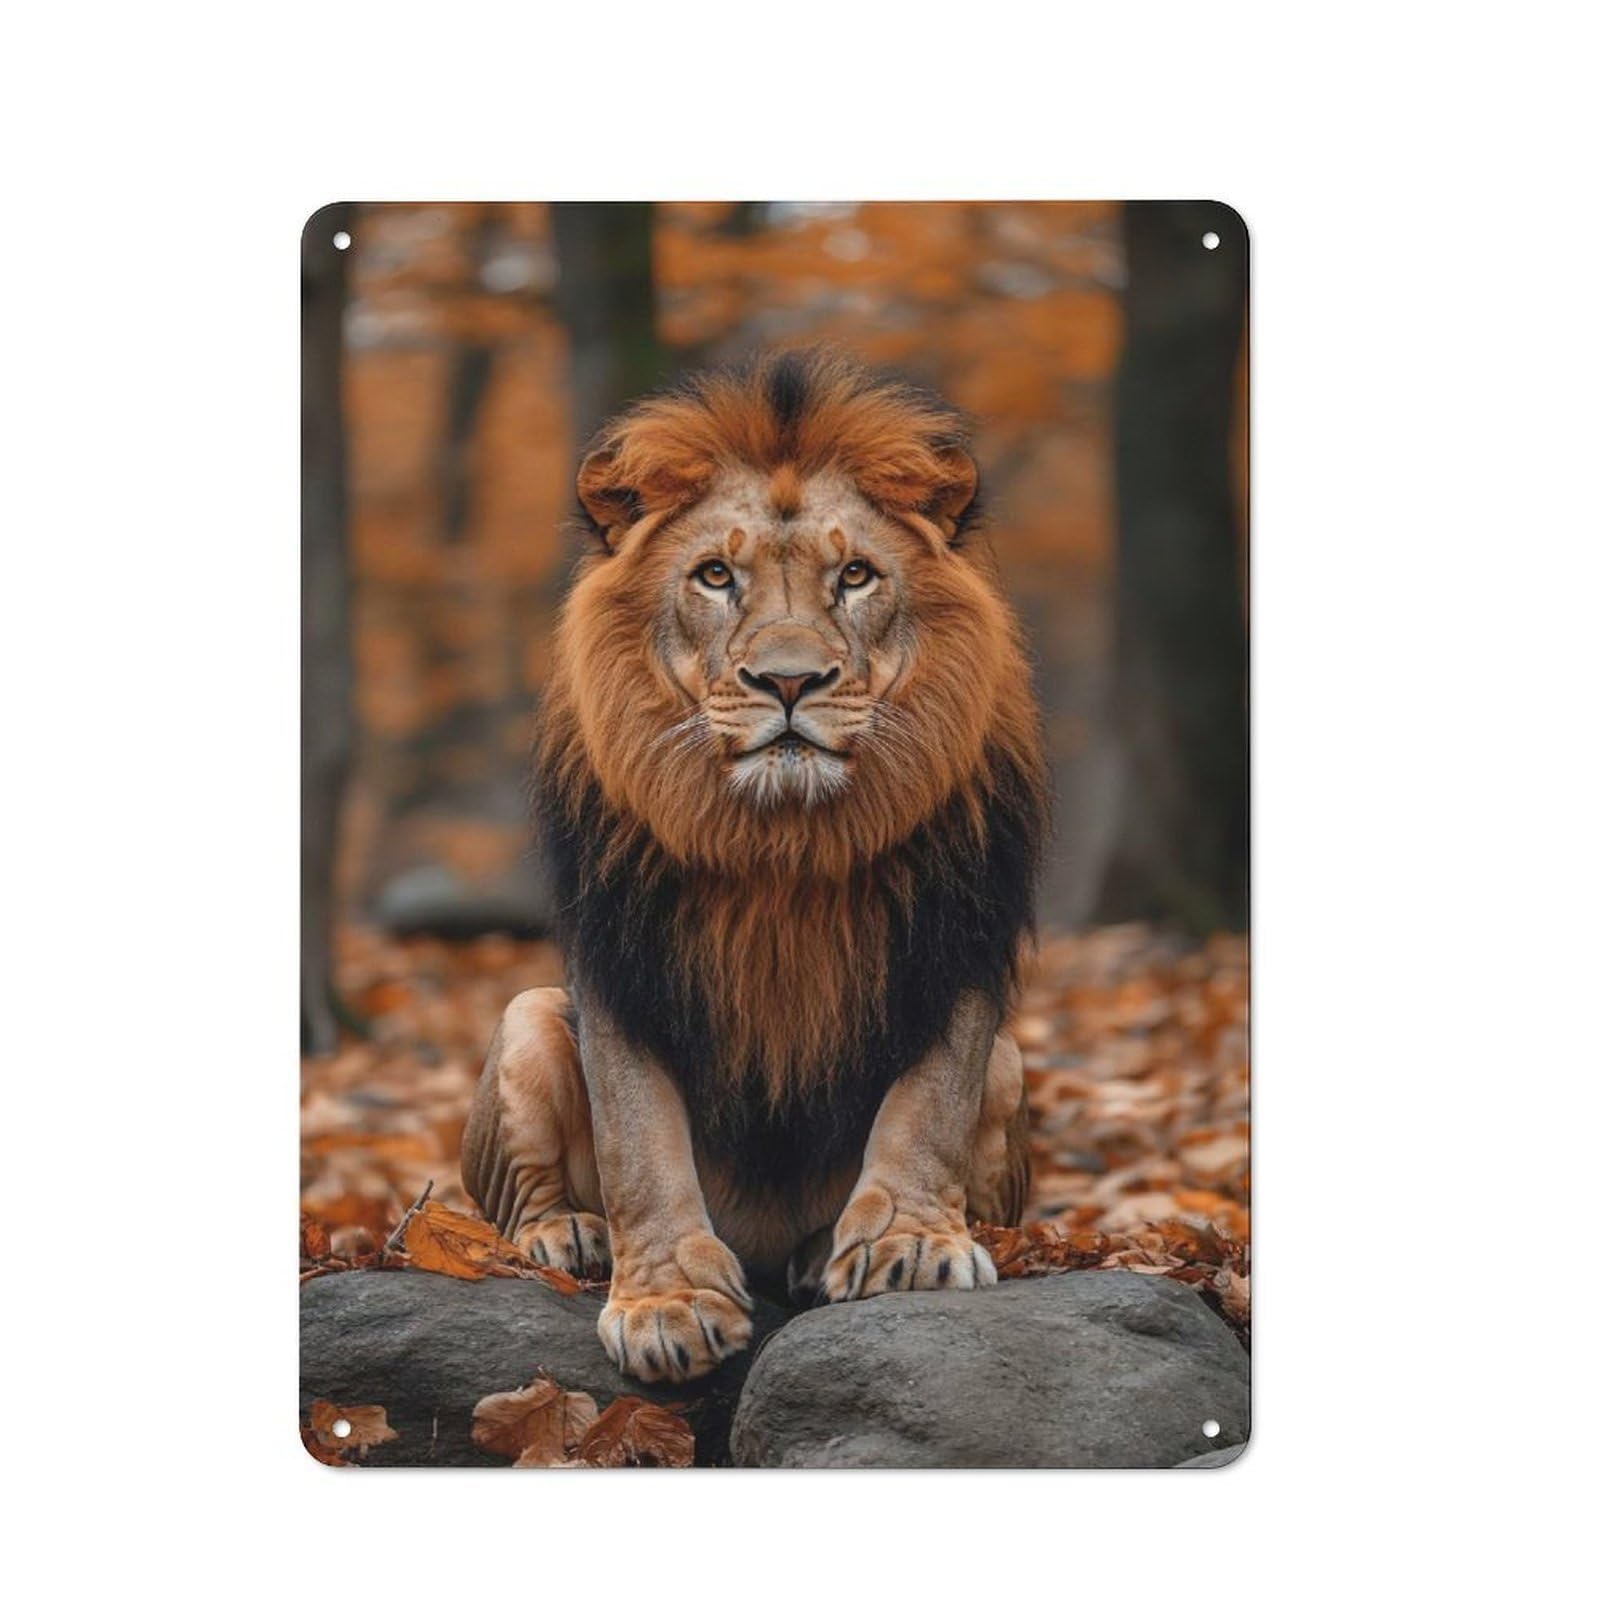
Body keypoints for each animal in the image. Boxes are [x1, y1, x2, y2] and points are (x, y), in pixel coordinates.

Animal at [462, 348, 1048, 1383]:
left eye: (854, 574)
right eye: (714, 575)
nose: (788, 680)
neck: (784, 843)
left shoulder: (956, 938)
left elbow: (928, 1106)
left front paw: (907, 1246)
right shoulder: (624, 956)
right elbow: (639, 1142)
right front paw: (665, 1303)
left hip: (1015, 1062)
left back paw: (820, 1254)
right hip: (528, 1017)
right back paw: (565, 1234)